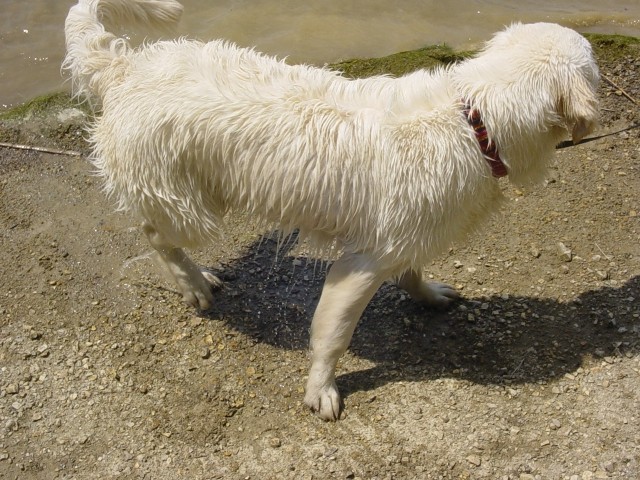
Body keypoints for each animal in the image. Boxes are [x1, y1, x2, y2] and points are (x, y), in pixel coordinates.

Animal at [65, 0, 600, 420]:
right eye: (594, 64)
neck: (474, 119)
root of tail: (126, 68)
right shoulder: (359, 266)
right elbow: (333, 334)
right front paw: (321, 389)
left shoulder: (405, 234)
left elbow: (411, 270)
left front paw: (427, 293)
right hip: (189, 206)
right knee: (157, 234)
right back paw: (194, 283)